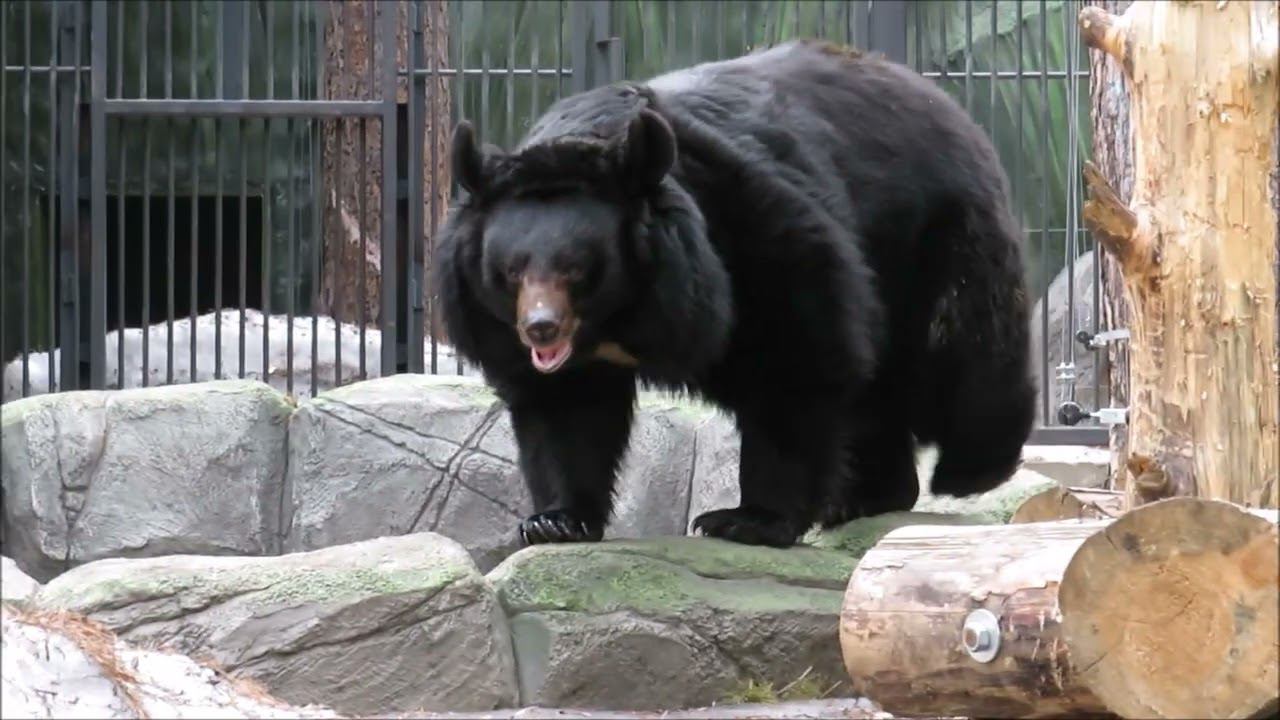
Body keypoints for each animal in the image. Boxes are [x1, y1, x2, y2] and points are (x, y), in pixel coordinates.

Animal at [432, 39, 1036, 548]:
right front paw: (554, 521)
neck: (619, 317)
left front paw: (747, 520)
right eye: (510, 271)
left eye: (578, 269)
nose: (540, 329)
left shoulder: (751, 237)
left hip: (932, 237)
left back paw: (972, 470)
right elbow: (565, 407)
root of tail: (938, 97)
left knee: (959, 353)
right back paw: (868, 497)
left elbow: (797, 356)